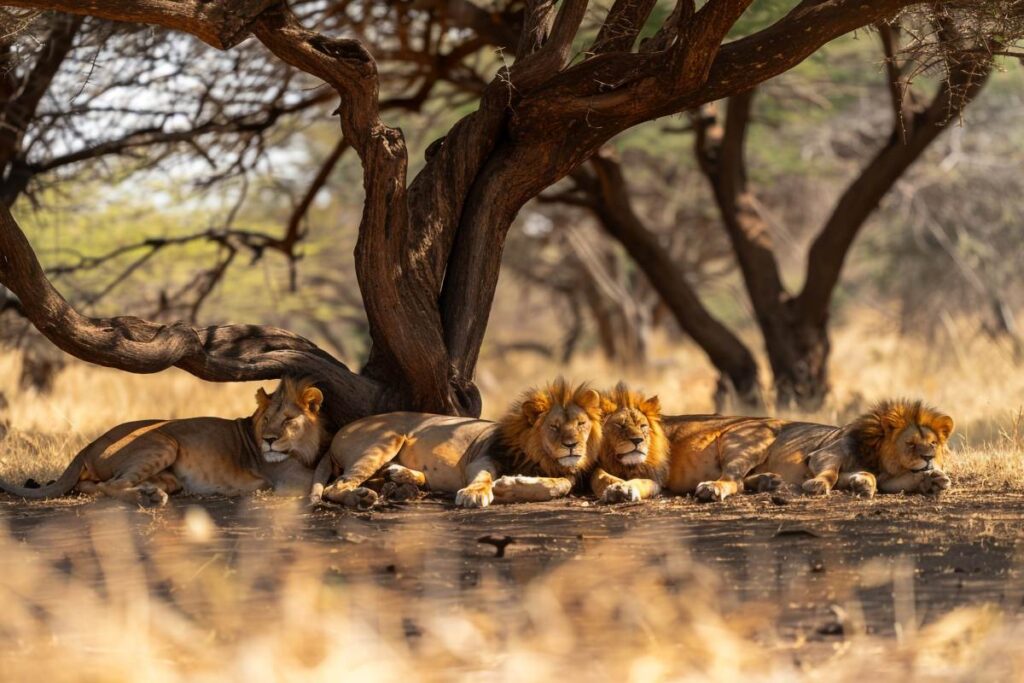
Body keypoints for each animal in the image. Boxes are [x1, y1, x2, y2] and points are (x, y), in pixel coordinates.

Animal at [0, 376, 329, 507]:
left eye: (287, 420)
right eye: (266, 420)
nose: (269, 440)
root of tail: (89, 445)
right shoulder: (286, 478)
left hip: (171, 476)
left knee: (97, 486)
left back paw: (149, 491)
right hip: (164, 444)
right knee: (111, 485)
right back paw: (149, 497)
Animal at [312, 379, 605, 508]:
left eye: (581, 424)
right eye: (553, 427)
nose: (572, 445)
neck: (540, 455)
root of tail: (339, 432)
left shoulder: (565, 473)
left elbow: (562, 485)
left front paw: (513, 486)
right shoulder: (484, 456)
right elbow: (484, 477)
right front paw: (476, 493)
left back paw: (400, 474)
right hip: (385, 439)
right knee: (335, 486)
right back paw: (360, 497)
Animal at [663, 398, 954, 502]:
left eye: (933, 444)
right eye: (910, 444)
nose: (929, 458)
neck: (880, 460)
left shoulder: (885, 477)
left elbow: (867, 478)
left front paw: (933, 480)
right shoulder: (825, 454)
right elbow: (831, 474)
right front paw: (818, 485)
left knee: (742, 482)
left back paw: (768, 481)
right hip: (751, 441)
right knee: (732, 480)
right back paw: (714, 488)